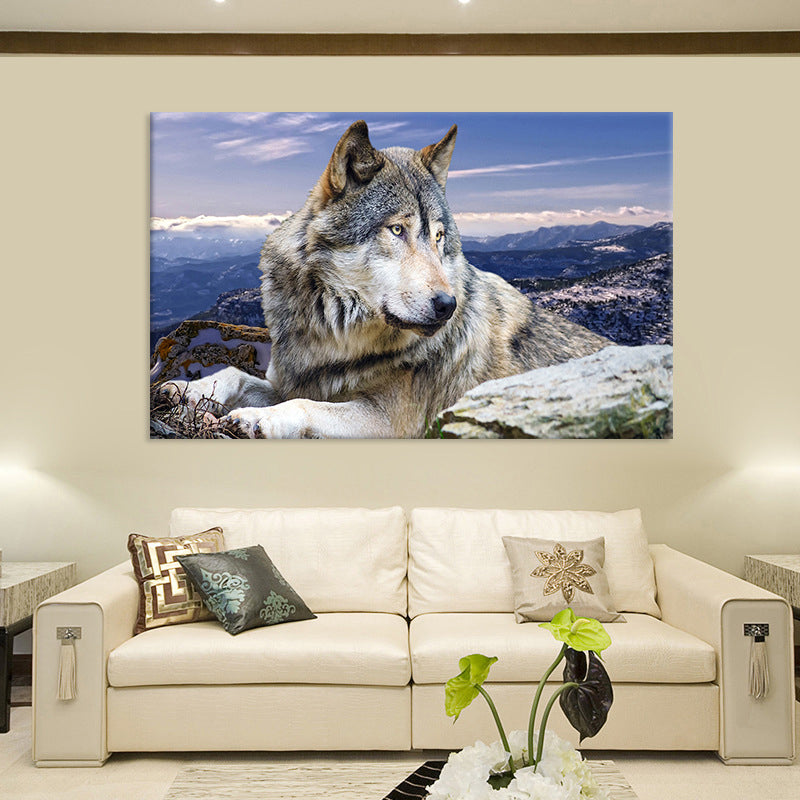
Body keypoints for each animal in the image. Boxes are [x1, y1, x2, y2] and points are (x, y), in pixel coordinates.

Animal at [161, 120, 609, 438]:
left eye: (439, 237)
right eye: (397, 230)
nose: (448, 306)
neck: (334, 337)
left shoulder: (389, 422)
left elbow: (304, 407)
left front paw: (258, 420)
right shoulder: (295, 380)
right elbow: (234, 374)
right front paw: (184, 389)